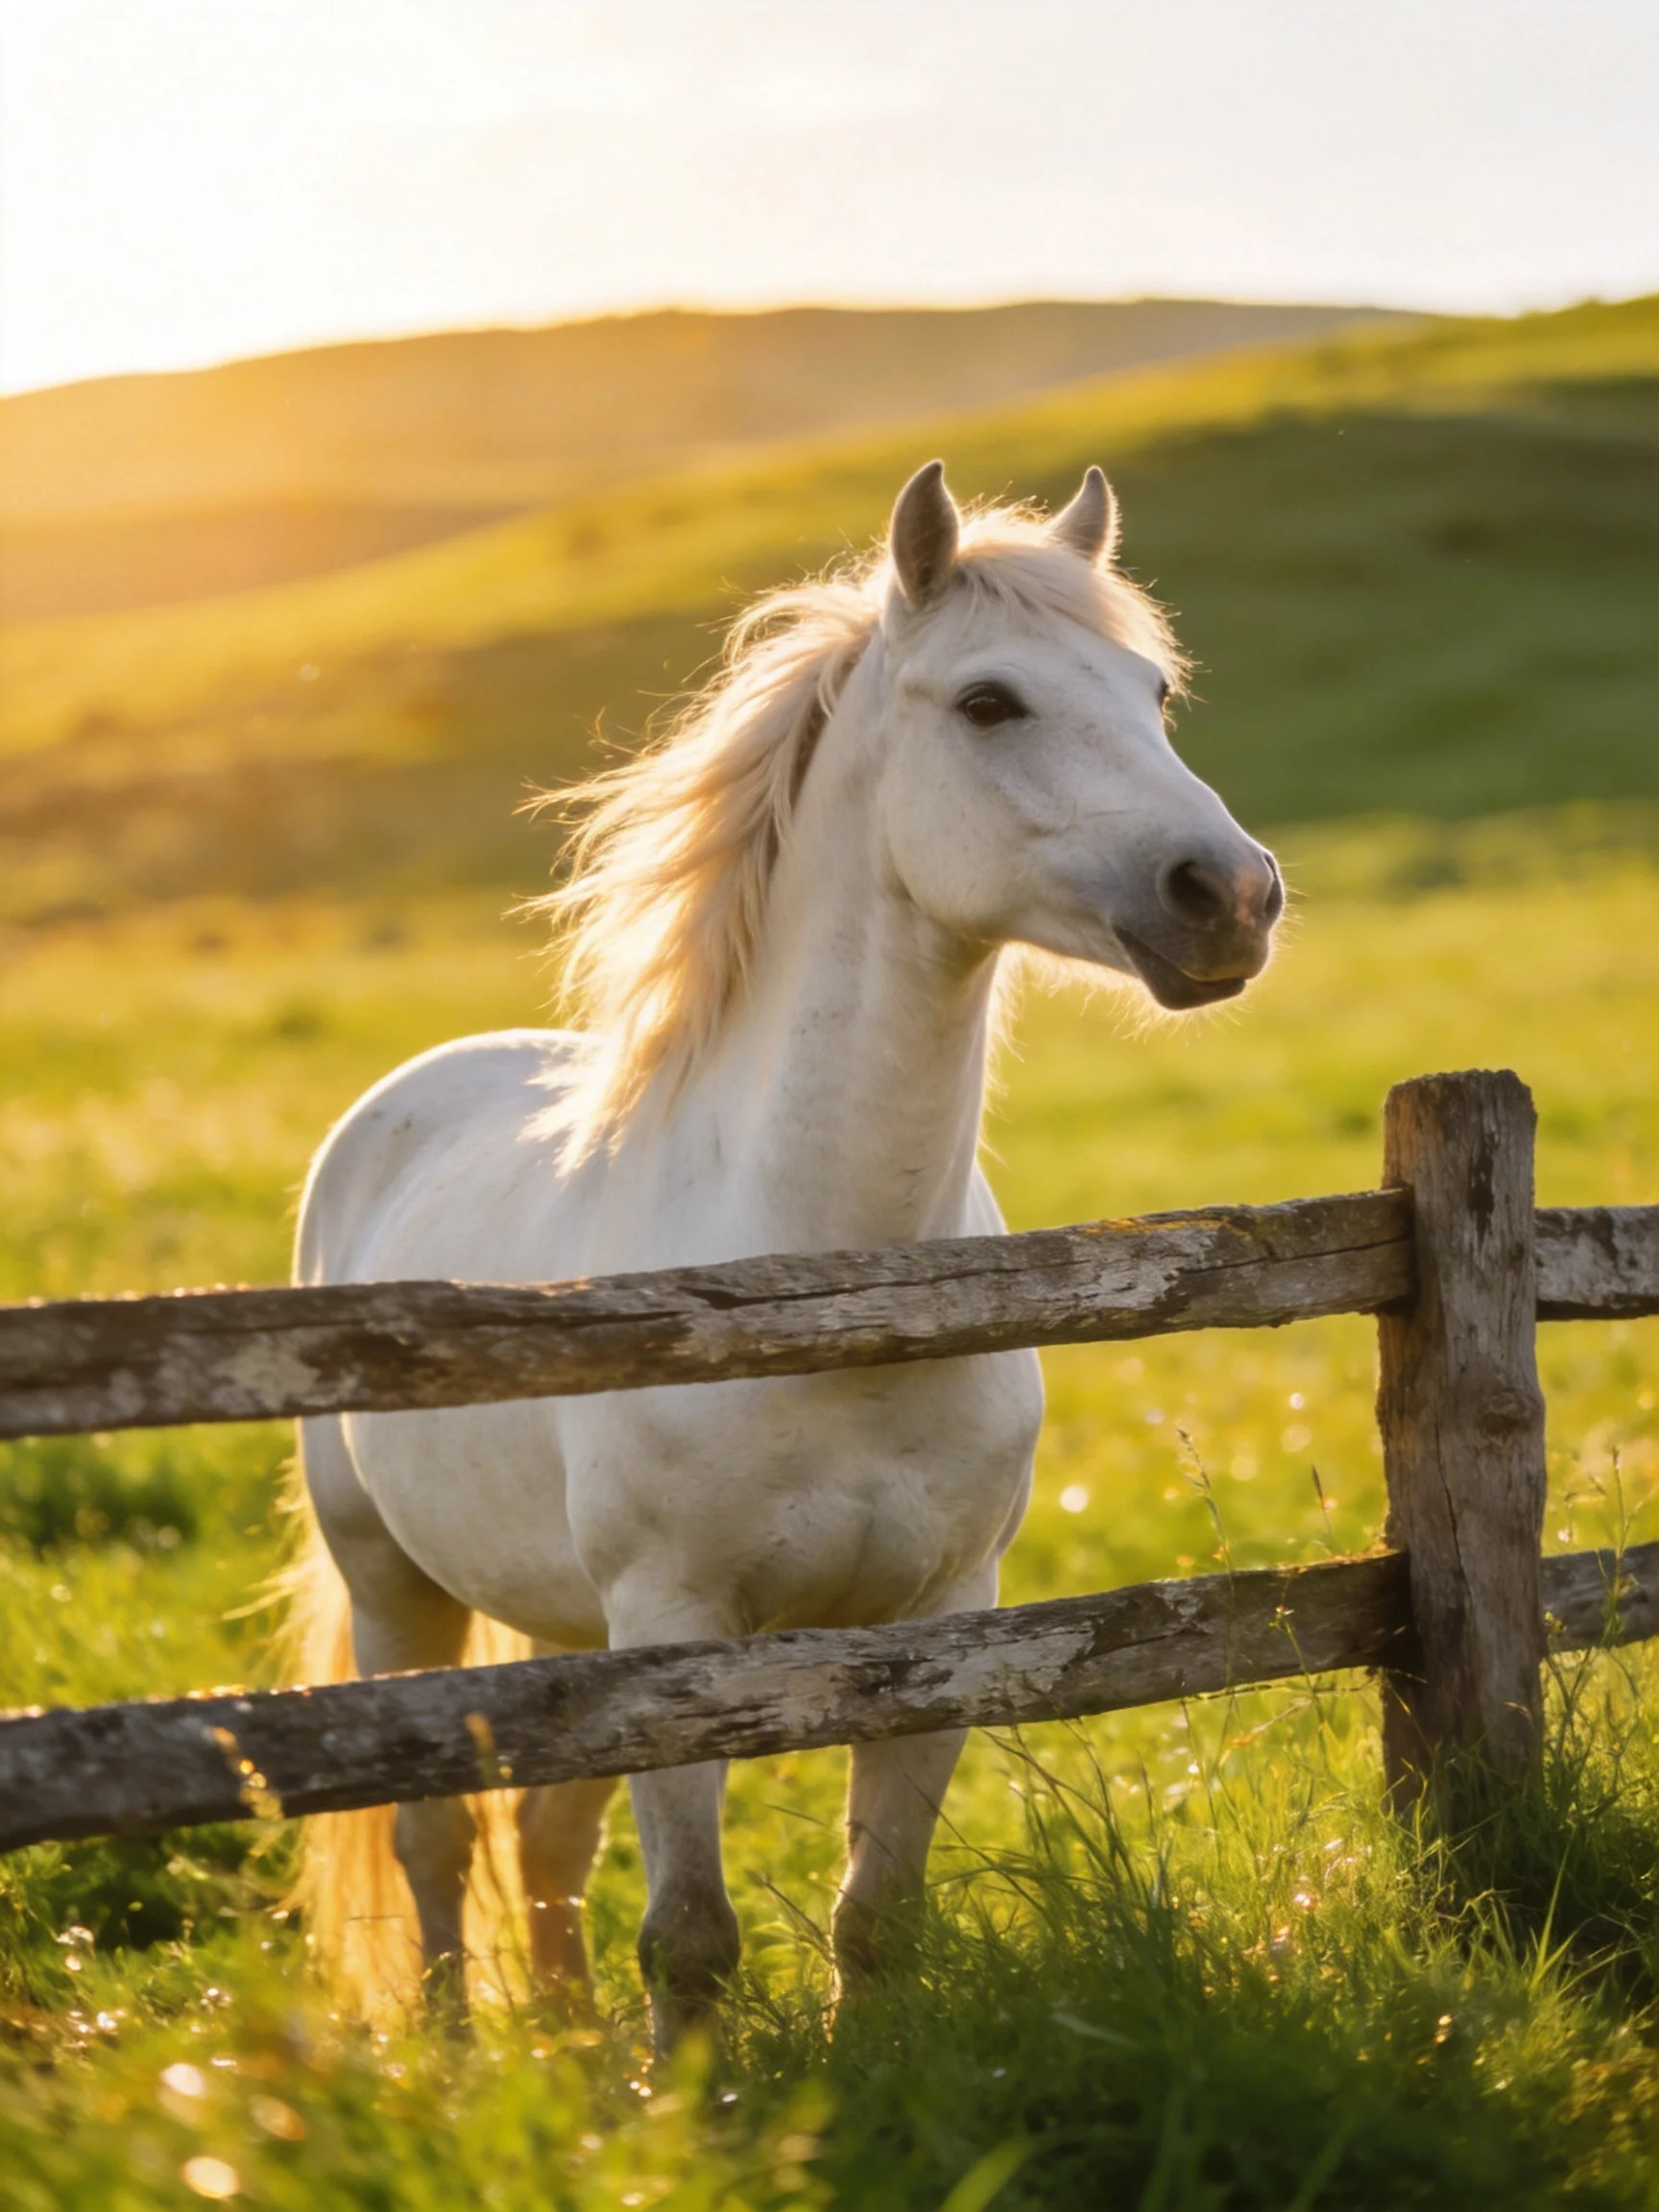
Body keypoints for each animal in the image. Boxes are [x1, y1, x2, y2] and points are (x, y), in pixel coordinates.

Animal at [289, 459, 1283, 2044]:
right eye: (989, 701)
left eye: (1153, 689)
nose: (1230, 896)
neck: (829, 1297)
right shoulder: (676, 1627)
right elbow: (690, 1937)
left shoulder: (945, 1619)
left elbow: (877, 1913)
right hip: (394, 1582)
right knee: (432, 1836)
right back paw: (449, 2048)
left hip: (561, 1625)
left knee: (544, 1839)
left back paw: (571, 2050)